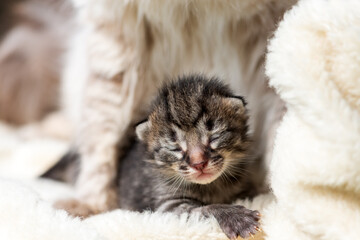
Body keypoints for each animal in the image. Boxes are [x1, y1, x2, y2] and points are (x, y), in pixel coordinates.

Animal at [58, 0, 296, 216]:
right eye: (174, 145)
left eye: (214, 135)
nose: (199, 163)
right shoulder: (115, 28)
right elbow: (101, 121)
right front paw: (91, 201)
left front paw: (278, 192)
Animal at [119, 74, 260, 238]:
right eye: (175, 148)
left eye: (214, 138)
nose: (198, 163)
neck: (211, 186)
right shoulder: (167, 206)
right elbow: (202, 210)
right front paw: (236, 218)